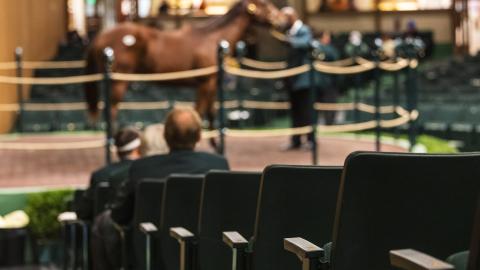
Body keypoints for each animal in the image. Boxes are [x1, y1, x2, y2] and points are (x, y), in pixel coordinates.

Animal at [84, 0, 284, 132]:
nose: (282, 19)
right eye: (265, 5)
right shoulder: (205, 83)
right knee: (111, 110)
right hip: (119, 81)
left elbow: (211, 114)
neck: (211, 39)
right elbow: (199, 112)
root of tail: (100, 36)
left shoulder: (211, 84)